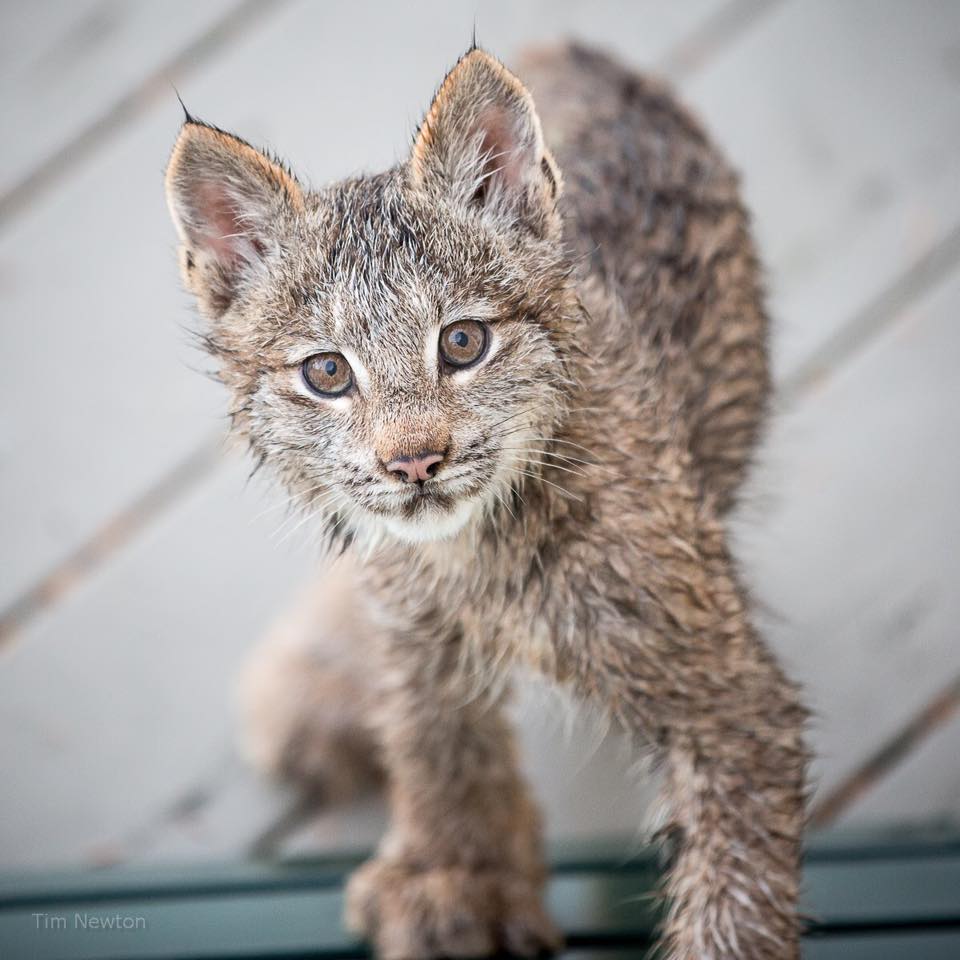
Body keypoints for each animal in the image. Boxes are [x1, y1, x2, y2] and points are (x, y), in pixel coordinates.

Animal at [167, 41, 808, 956]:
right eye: (327, 373)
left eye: (464, 343)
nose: (414, 463)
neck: (474, 553)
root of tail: (580, 47)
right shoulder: (415, 626)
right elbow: (434, 737)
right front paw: (456, 875)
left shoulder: (730, 703)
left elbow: (735, 903)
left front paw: (459, 877)